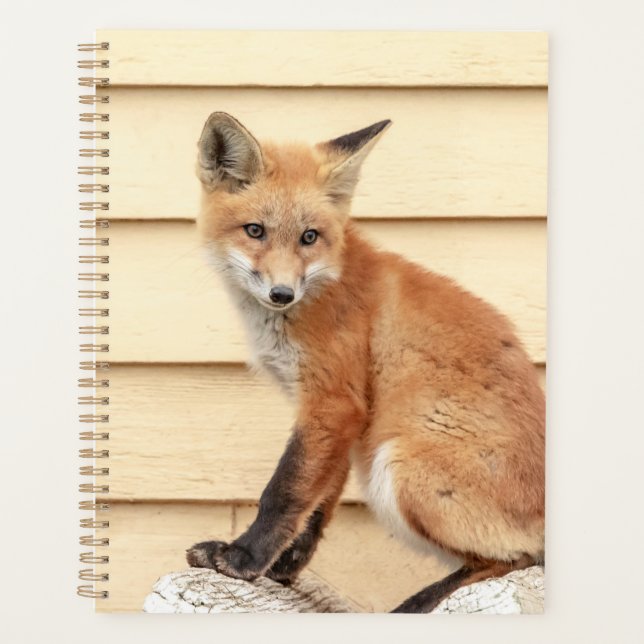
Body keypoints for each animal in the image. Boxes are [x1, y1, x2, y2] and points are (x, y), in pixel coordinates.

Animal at [186, 112, 545, 613]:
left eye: (309, 237)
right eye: (255, 231)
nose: (282, 293)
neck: (322, 285)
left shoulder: (333, 400)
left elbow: (284, 491)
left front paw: (243, 559)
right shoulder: (341, 416)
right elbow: (317, 504)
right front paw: (283, 568)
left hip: (398, 468)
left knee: (518, 558)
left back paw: (419, 603)